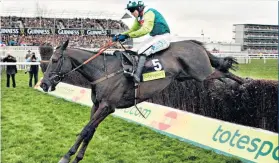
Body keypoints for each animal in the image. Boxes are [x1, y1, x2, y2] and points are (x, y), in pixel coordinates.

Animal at [39, 39, 245, 163]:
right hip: (187, 76)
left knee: (223, 72)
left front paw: (66, 156)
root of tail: (194, 42)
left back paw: (244, 84)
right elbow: (90, 131)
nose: (43, 83)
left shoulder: (107, 107)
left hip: (200, 73)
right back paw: (237, 87)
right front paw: (77, 157)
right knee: (221, 74)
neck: (102, 71)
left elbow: (85, 130)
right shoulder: (97, 105)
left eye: (55, 60)